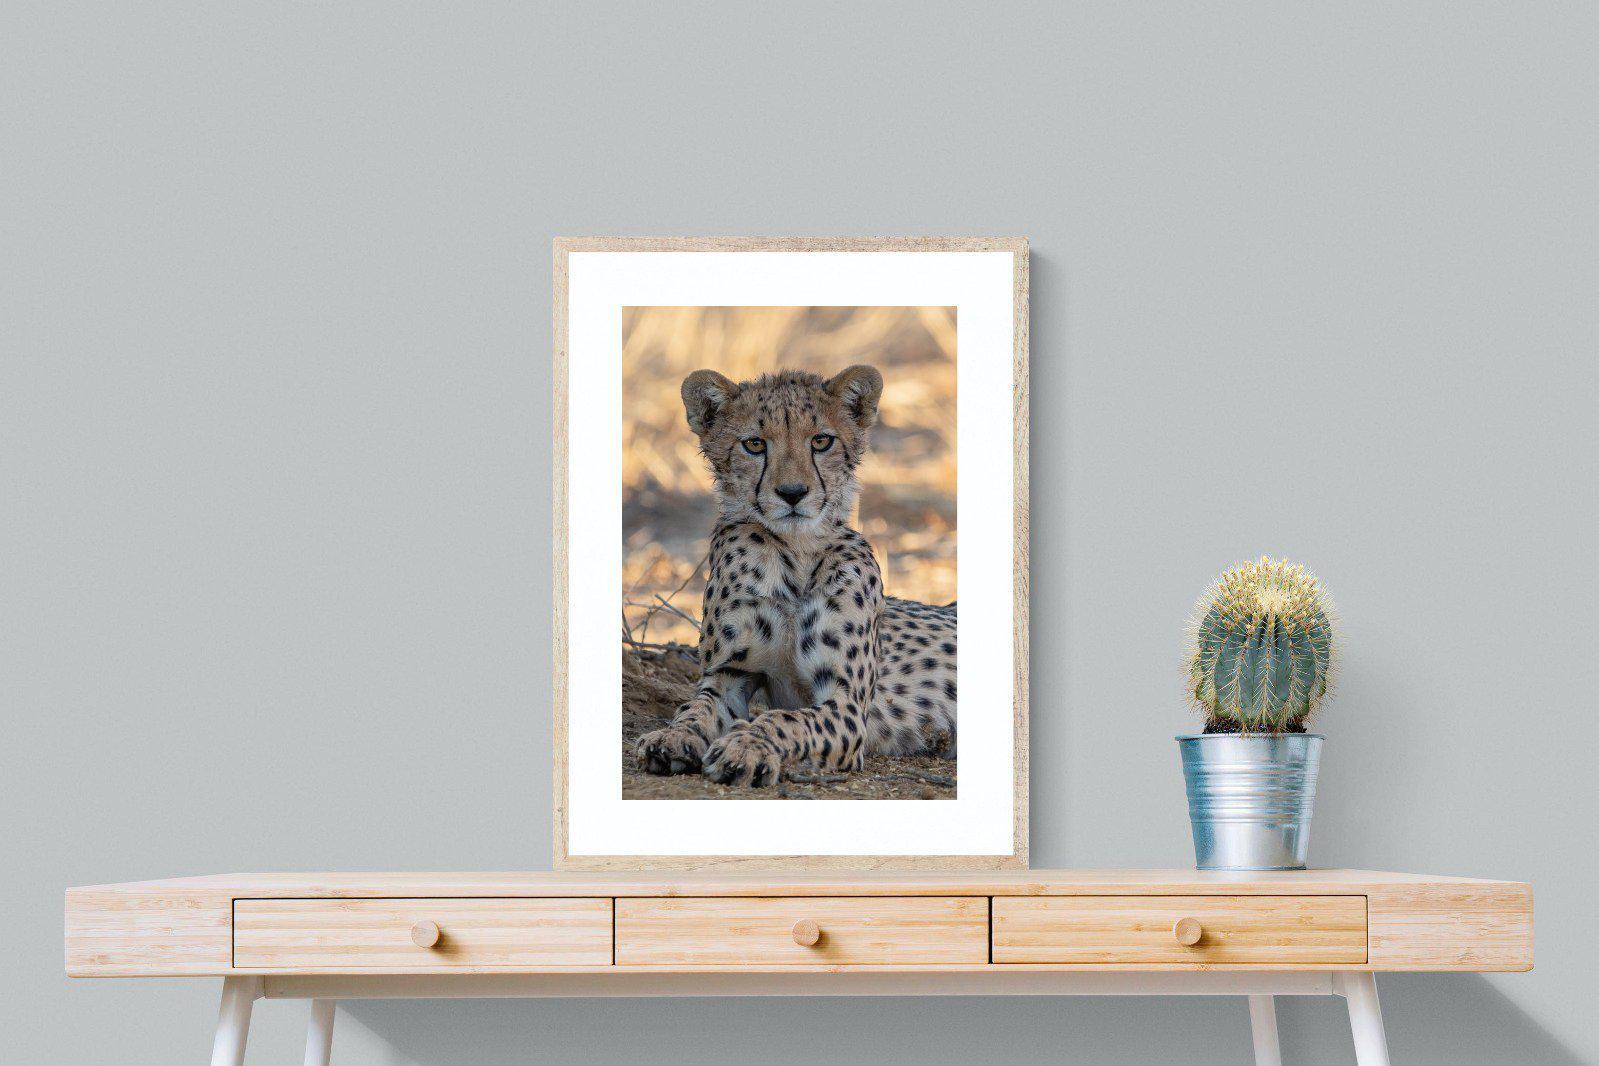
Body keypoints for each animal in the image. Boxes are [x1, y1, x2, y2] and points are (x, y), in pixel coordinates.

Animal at [634, 363, 956, 788]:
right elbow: (695, 708)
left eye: (821, 440)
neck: (796, 554)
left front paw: (746, 747)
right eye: (754, 444)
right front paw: (671, 737)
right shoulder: (729, 676)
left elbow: (785, 719)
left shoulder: (846, 704)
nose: (792, 493)